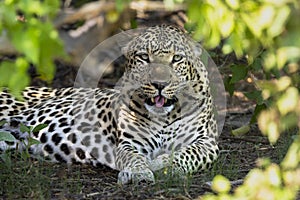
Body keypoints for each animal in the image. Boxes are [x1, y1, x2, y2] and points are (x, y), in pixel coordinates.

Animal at [0, 25, 220, 184]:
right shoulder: (129, 143)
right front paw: (139, 173)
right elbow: (134, 158)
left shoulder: (207, 143)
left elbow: (186, 154)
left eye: (177, 58)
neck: (165, 116)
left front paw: (162, 164)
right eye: (144, 57)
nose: (159, 84)